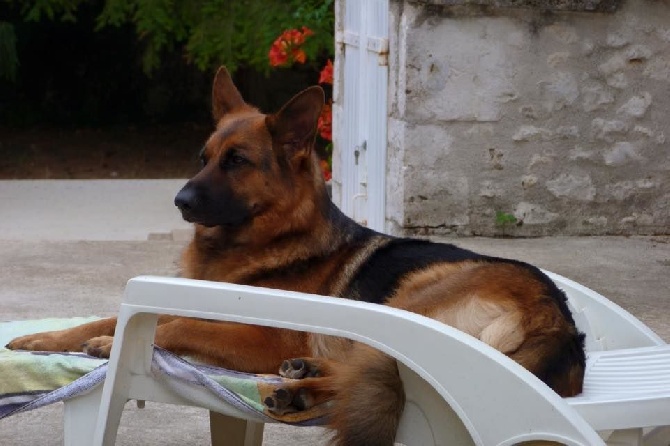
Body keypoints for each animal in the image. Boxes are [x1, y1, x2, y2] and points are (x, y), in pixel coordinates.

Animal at [10, 66, 588, 446]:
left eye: (237, 162)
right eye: (203, 158)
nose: (180, 200)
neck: (265, 241)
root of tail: (556, 319)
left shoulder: (263, 336)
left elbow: (176, 324)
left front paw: (109, 344)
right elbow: (108, 313)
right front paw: (45, 339)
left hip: (415, 294)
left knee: (375, 369)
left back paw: (302, 389)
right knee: (362, 368)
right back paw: (302, 383)